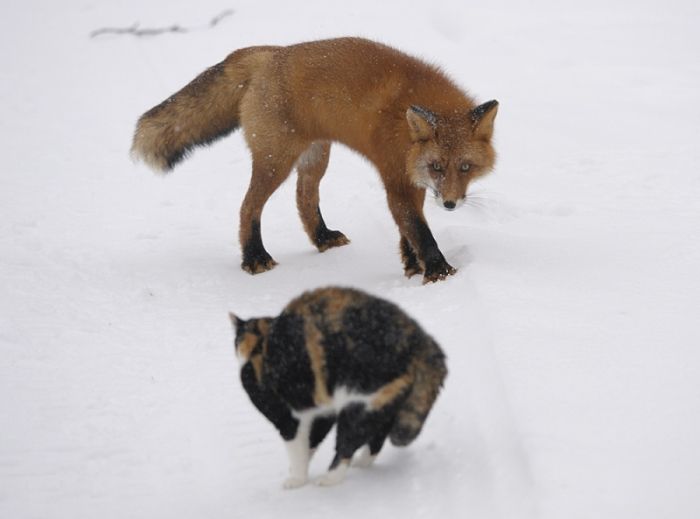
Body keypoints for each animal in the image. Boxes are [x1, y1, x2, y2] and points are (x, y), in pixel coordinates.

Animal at [132, 37, 498, 283]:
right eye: (437, 166)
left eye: (465, 167)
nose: (450, 204)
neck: (404, 128)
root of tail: (269, 52)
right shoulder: (396, 178)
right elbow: (418, 229)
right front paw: (439, 271)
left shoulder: (411, 179)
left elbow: (408, 228)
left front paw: (412, 266)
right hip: (275, 161)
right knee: (248, 207)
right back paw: (254, 258)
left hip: (315, 158)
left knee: (304, 198)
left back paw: (322, 237)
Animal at [229, 286, 447, 488]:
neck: (260, 343)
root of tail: (422, 343)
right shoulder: (323, 409)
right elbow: (311, 441)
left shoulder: (286, 417)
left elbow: (297, 447)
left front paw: (297, 479)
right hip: (382, 402)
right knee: (377, 437)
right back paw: (362, 463)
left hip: (359, 405)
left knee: (347, 445)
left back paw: (330, 478)